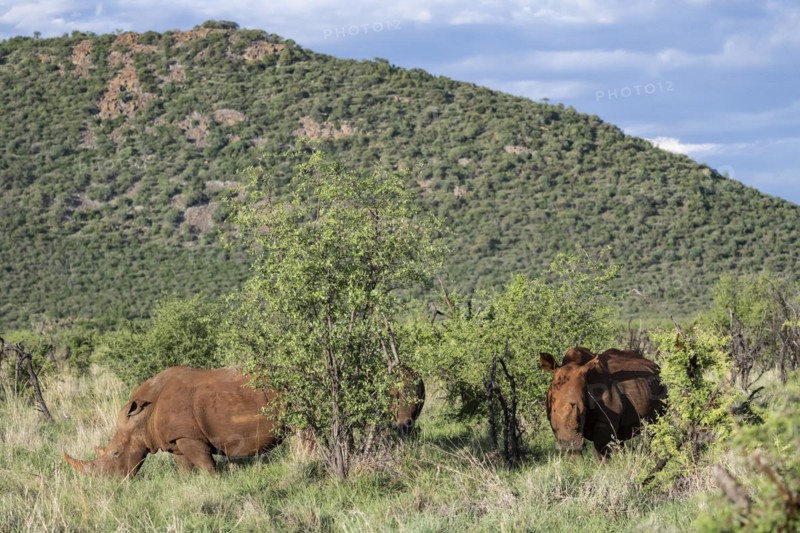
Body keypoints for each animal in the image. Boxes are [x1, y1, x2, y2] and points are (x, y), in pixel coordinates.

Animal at [64, 366, 281, 477]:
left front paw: (216, 482)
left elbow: (206, 465)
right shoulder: (175, 440)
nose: (105, 484)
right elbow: (184, 468)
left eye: (116, 453)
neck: (142, 419)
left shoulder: (189, 436)